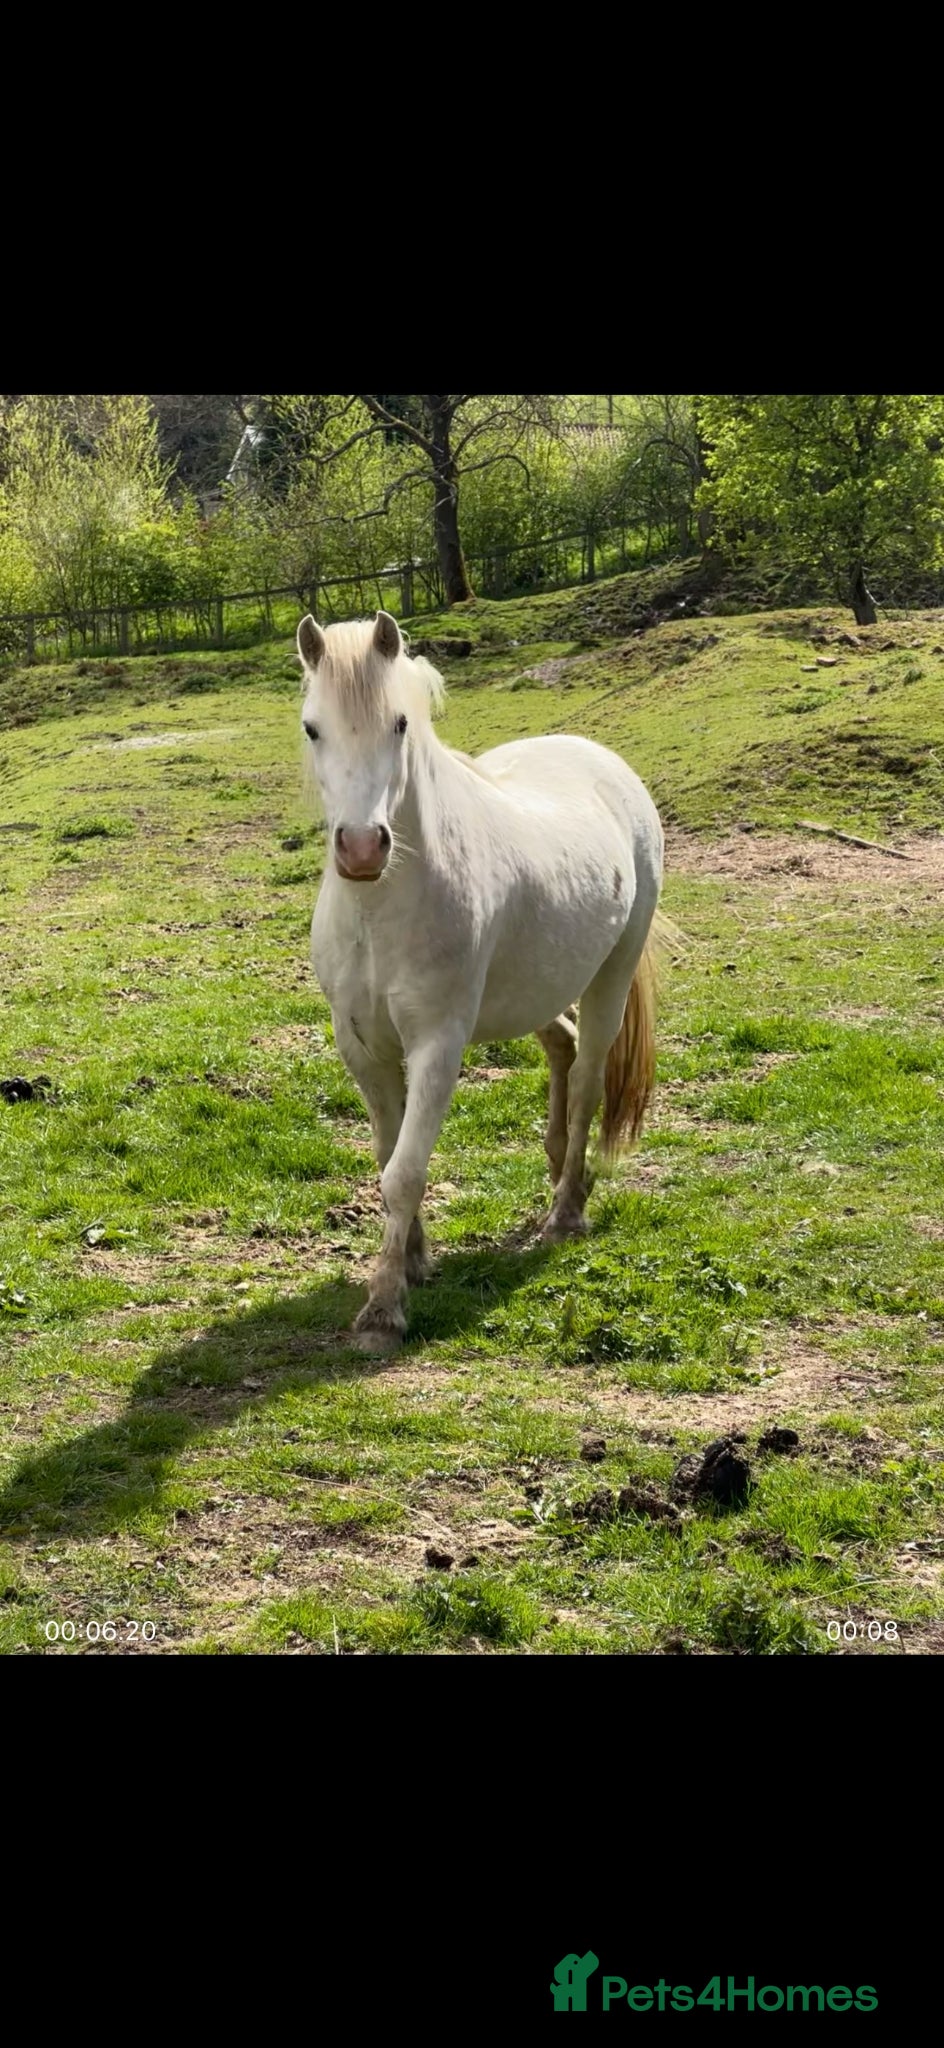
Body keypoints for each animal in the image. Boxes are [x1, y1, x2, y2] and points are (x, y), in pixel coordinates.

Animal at [299, 608, 665, 1352]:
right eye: (312, 727)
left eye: (400, 724)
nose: (361, 848)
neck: (381, 907)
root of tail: (605, 763)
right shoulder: (360, 1046)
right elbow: (386, 1153)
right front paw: (413, 1259)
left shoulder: (438, 1045)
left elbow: (405, 1171)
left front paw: (384, 1307)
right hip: (531, 990)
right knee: (562, 1047)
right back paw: (558, 1167)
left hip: (610, 976)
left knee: (588, 1078)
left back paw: (567, 1212)